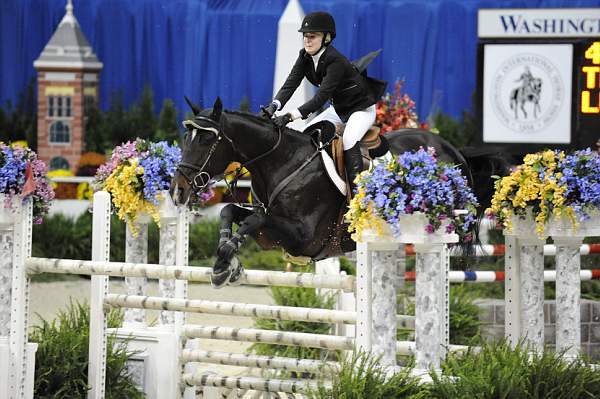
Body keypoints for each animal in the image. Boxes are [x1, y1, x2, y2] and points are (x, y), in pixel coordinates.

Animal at [170, 98, 510, 290]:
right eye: (186, 137)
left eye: (205, 141)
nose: (177, 191)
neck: (280, 161)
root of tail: (455, 151)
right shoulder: (271, 231)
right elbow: (231, 212)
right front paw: (228, 263)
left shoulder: (302, 237)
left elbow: (253, 221)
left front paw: (223, 264)